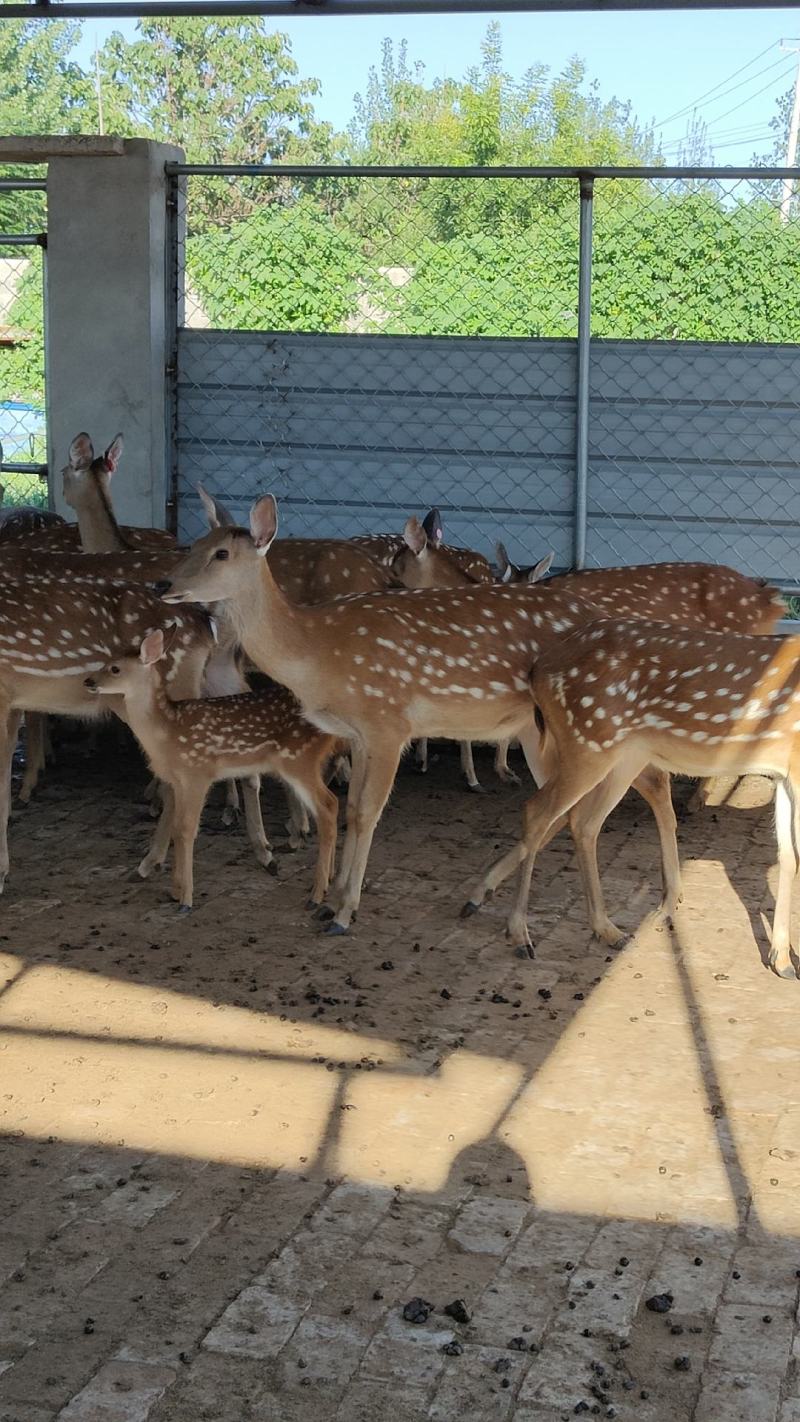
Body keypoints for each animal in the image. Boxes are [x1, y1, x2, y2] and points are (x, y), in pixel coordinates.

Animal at [84, 626, 339, 911]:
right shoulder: (177, 780)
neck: (166, 733)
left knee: (329, 806)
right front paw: (175, 890)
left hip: (298, 760)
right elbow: (176, 827)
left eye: (114, 668)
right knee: (334, 804)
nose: (88, 681)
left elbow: (187, 830)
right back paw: (328, 881)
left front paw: (186, 899)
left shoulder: (197, 771)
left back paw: (317, 895)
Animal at [465, 617, 800, 978]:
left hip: (623, 755)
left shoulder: (784, 772)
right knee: (539, 811)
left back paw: (606, 929)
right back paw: (519, 933)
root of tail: (538, 669)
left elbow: (787, 856)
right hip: (589, 742)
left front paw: (781, 958)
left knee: (584, 821)